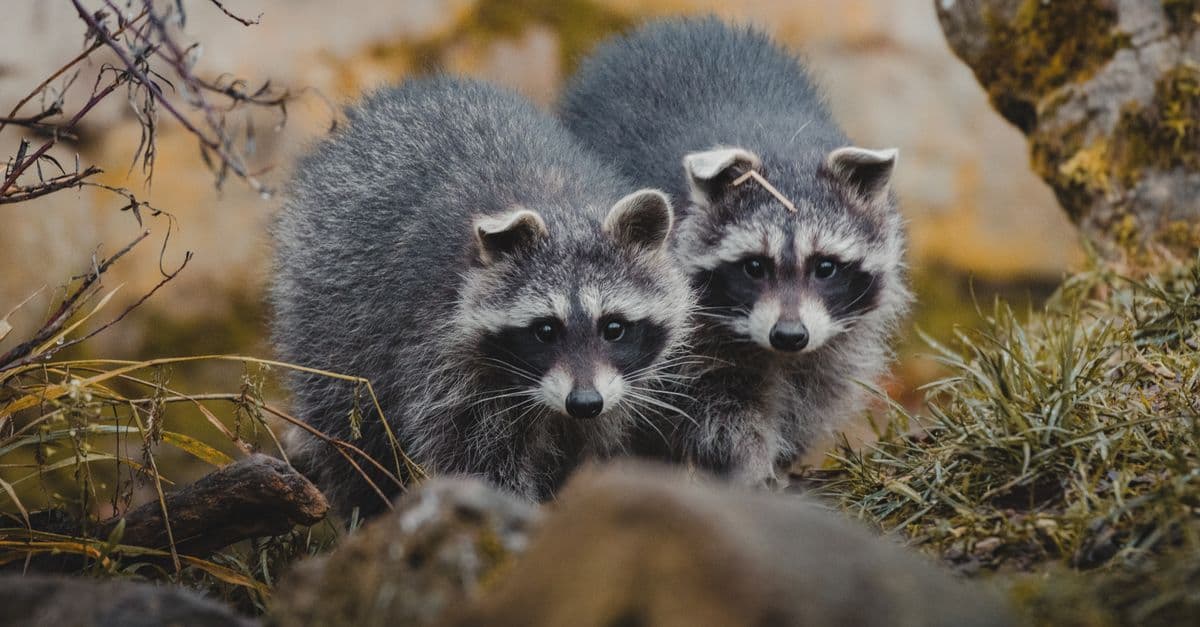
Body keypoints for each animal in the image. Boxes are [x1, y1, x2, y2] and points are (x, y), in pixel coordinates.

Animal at [270, 77, 693, 517]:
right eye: (545, 330)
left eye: (613, 327)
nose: (583, 402)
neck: (562, 207)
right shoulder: (440, 353)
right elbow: (475, 458)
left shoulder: (615, 391)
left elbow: (586, 445)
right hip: (330, 307)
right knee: (349, 428)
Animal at [559, 18, 912, 486]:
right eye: (754, 267)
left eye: (825, 267)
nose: (789, 335)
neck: (782, 148)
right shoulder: (687, 333)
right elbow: (715, 406)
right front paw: (748, 461)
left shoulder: (838, 334)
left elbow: (816, 390)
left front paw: (784, 454)